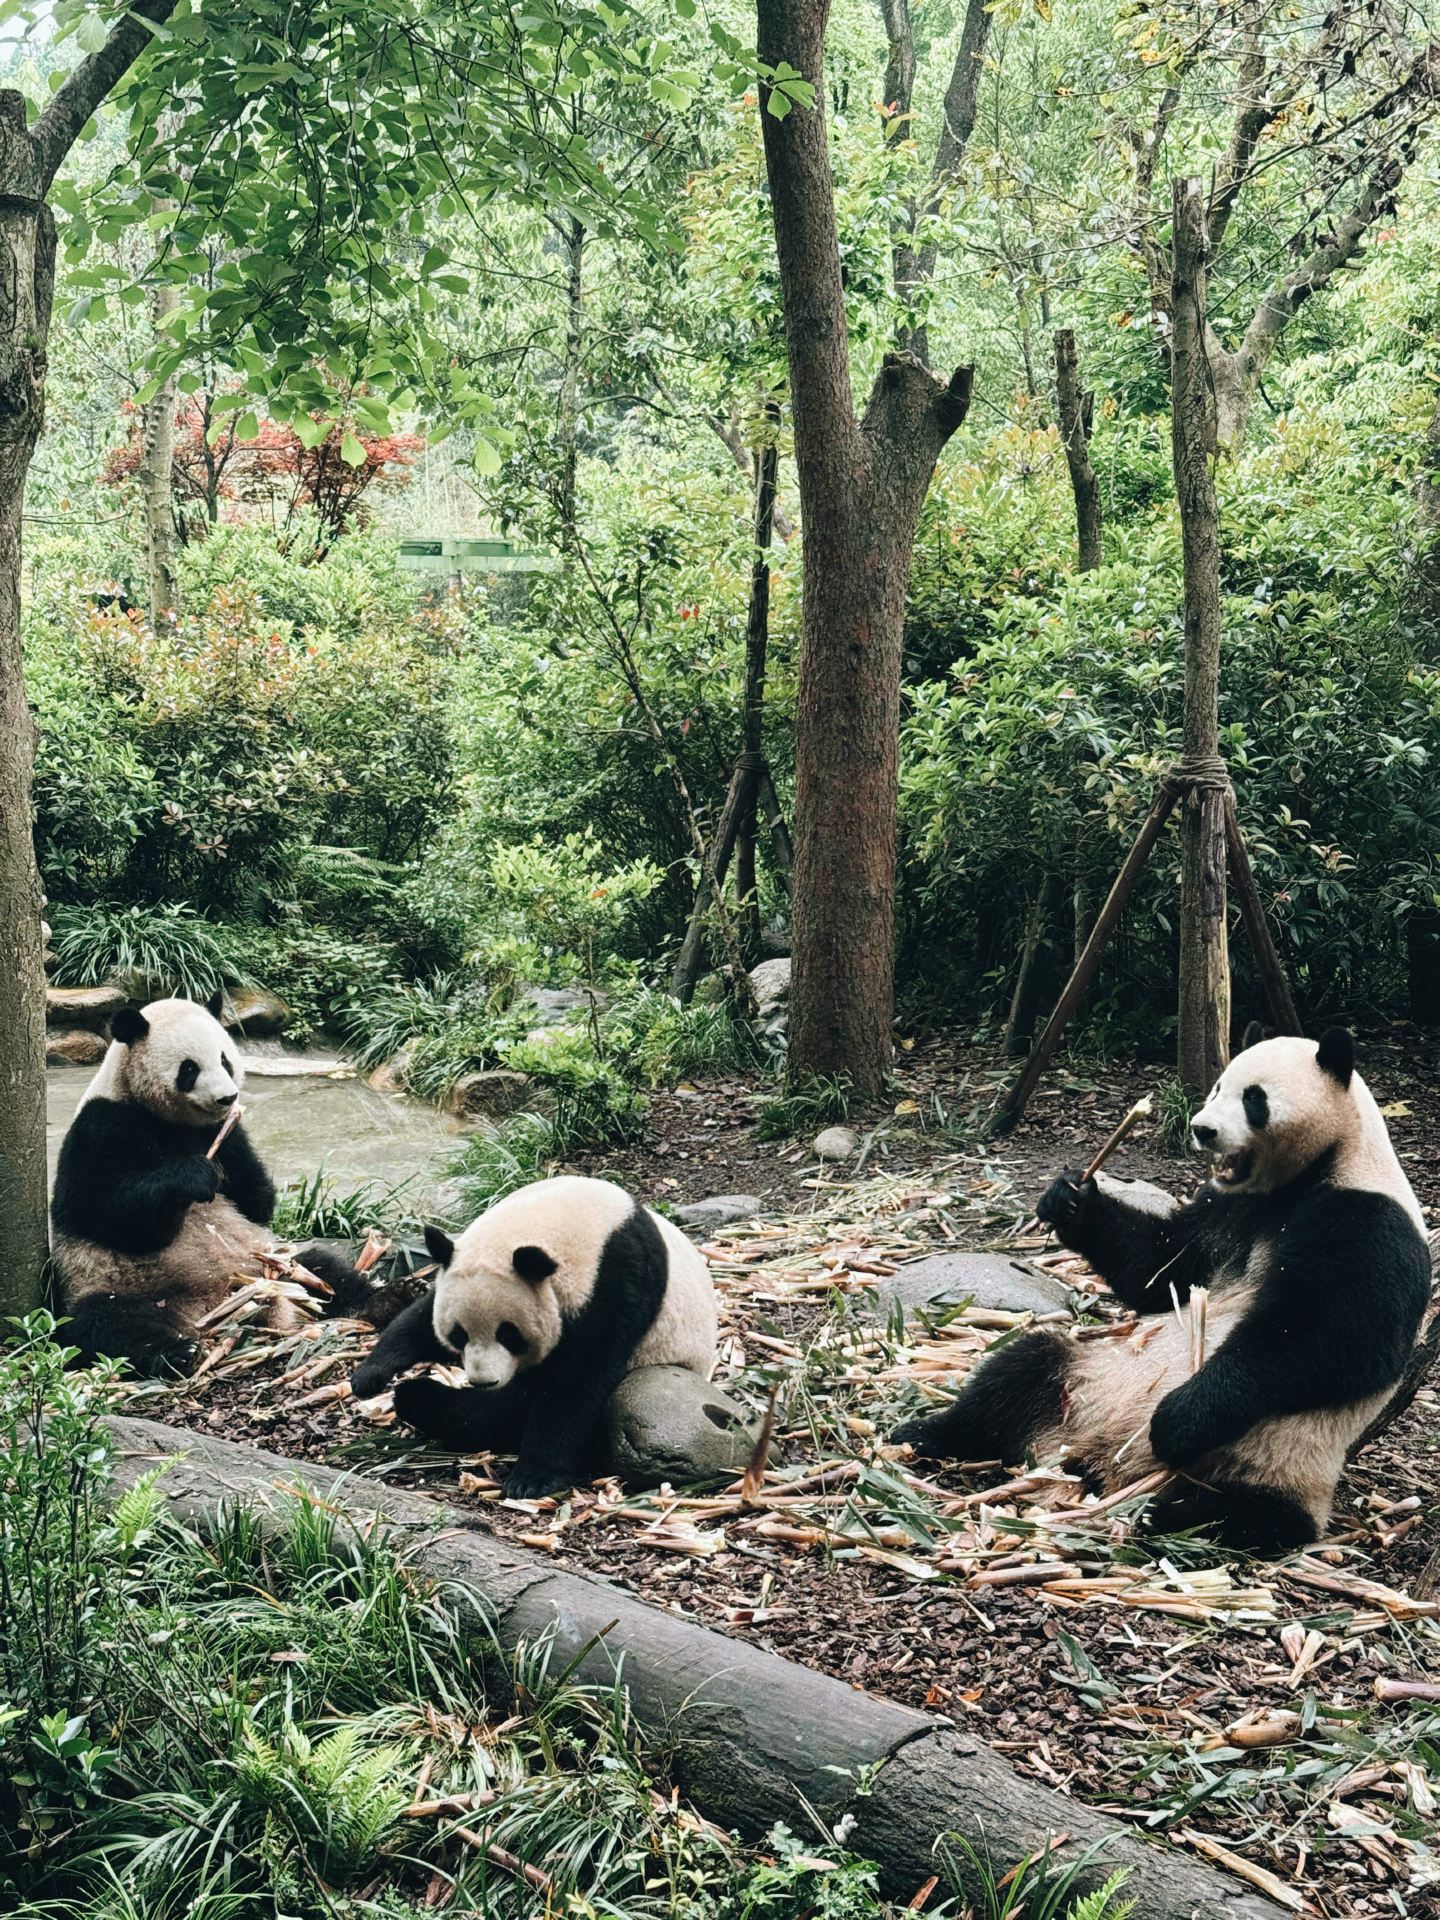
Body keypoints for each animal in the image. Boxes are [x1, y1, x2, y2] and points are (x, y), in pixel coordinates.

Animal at [51, 993, 404, 1377]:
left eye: (224, 1059)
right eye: (189, 1069)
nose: (227, 1098)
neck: (167, 1120)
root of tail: (221, 1305)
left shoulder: (225, 1133)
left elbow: (256, 1203)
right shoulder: (103, 1125)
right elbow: (107, 1214)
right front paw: (192, 1178)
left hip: (271, 1264)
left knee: (324, 1268)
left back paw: (388, 1299)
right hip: (122, 1286)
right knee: (110, 1324)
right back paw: (179, 1352)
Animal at [350, 1174, 718, 1499]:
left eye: (509, 1334)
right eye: (459, 1333)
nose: (483, 1381)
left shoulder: (616, 1284)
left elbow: (574, 1385)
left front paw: (531, 1480)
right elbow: (421, 1321)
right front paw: (368, 1376)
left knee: (500, 1412)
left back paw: (419, 1396)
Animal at [893, 1026, 1432, 1553]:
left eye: (1253, 1099)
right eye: (1217, 1087)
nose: (1202, 1129)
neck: (1319, 1166)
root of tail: (1092, 1458)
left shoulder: (1367, 1221)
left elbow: (1327, 1339)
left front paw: (1177, 1421)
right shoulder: (1226, 1208)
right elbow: (1161, 1271)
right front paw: (1071, 1200)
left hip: (1272, 1462)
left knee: (1236, 1516)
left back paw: (1160, 1513)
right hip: (1086, 1374)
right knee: (1016, 1372)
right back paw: (925, 1433)